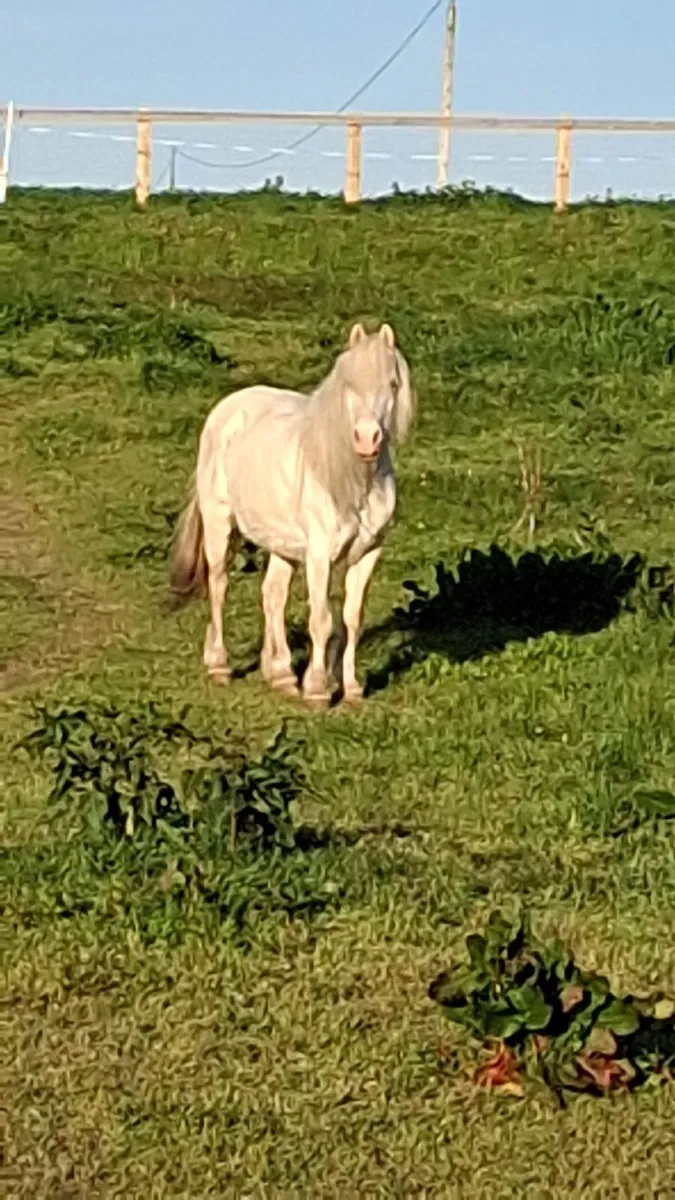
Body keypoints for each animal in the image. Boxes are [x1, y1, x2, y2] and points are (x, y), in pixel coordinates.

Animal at [169, 321, 415, 705]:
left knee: (272, 595)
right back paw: (220, 666)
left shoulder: (368, 553)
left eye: (392, 384)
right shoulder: (319, 555)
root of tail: (230, 407)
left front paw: (352, 689)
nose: (367, 439)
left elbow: (352, 618)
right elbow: (322, 620)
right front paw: (317, 691)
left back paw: (281, 675)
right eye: (348, 385)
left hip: (281, 543)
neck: (351, 481)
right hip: (219, 524)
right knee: (219, 585)